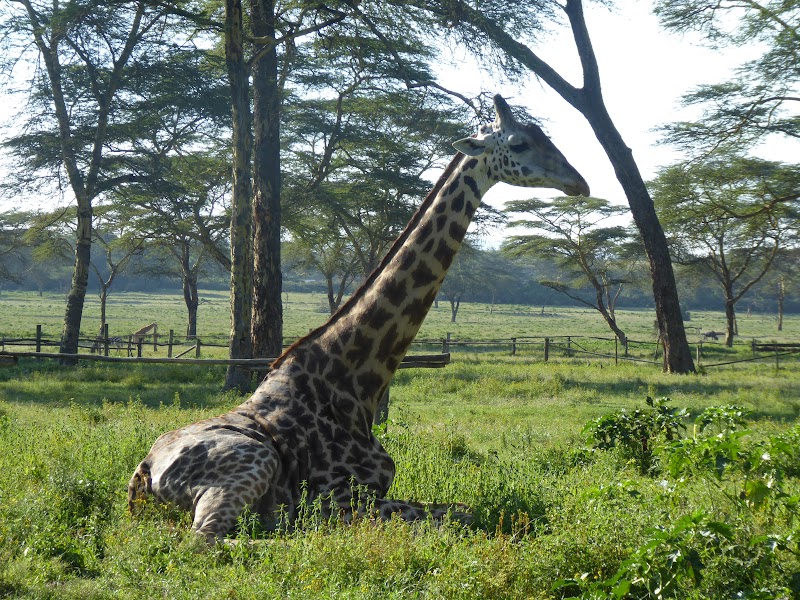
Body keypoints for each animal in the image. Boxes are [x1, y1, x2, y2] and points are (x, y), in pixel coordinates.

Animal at [128, 95, 592, 544]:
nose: (580, 183)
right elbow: (459, 516)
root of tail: (142, 474)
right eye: (519, 144)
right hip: (255, 462)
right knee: (206, 541)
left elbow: (462, 508)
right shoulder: (339, 501)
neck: (354, 381)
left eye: (546, 136)